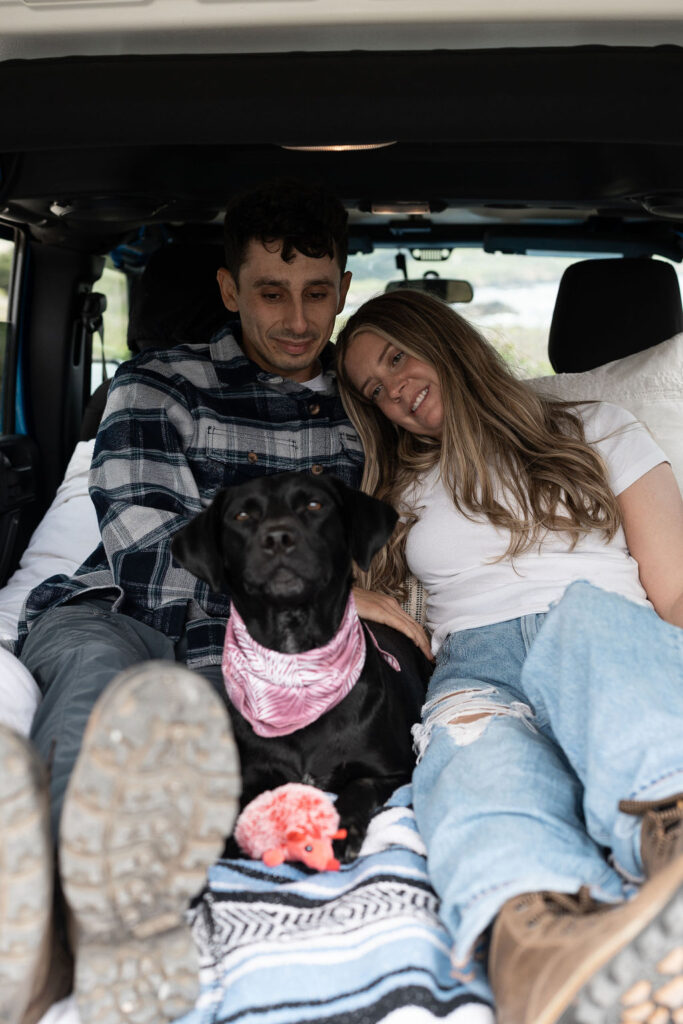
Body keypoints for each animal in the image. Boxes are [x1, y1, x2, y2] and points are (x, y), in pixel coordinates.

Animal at [172, 468, 421, 856]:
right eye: (242, 515)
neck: (296, 669)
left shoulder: (395, 770)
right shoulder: (251, 774)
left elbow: (359, 786)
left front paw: (342, 829)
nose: (278, 538)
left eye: (314, 505)